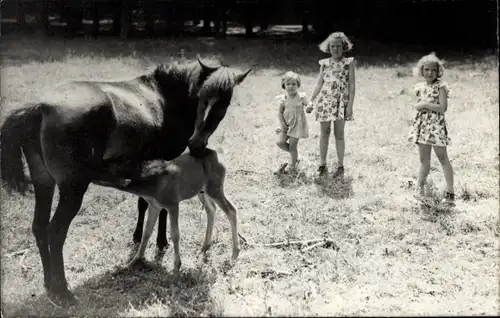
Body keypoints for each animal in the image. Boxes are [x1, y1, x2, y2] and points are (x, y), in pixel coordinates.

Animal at [96, 148, 242, 272]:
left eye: (106, 168)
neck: (152, 184)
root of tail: (219, 154)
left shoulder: (172, 204)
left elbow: (175, 233)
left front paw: (176, 267)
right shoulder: (154, 206)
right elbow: (147, 232)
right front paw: (133, 262)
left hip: (214, 187)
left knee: (231, 210)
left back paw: (235, 253)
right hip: (202, 190)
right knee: (211, 209)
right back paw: (205, 247)